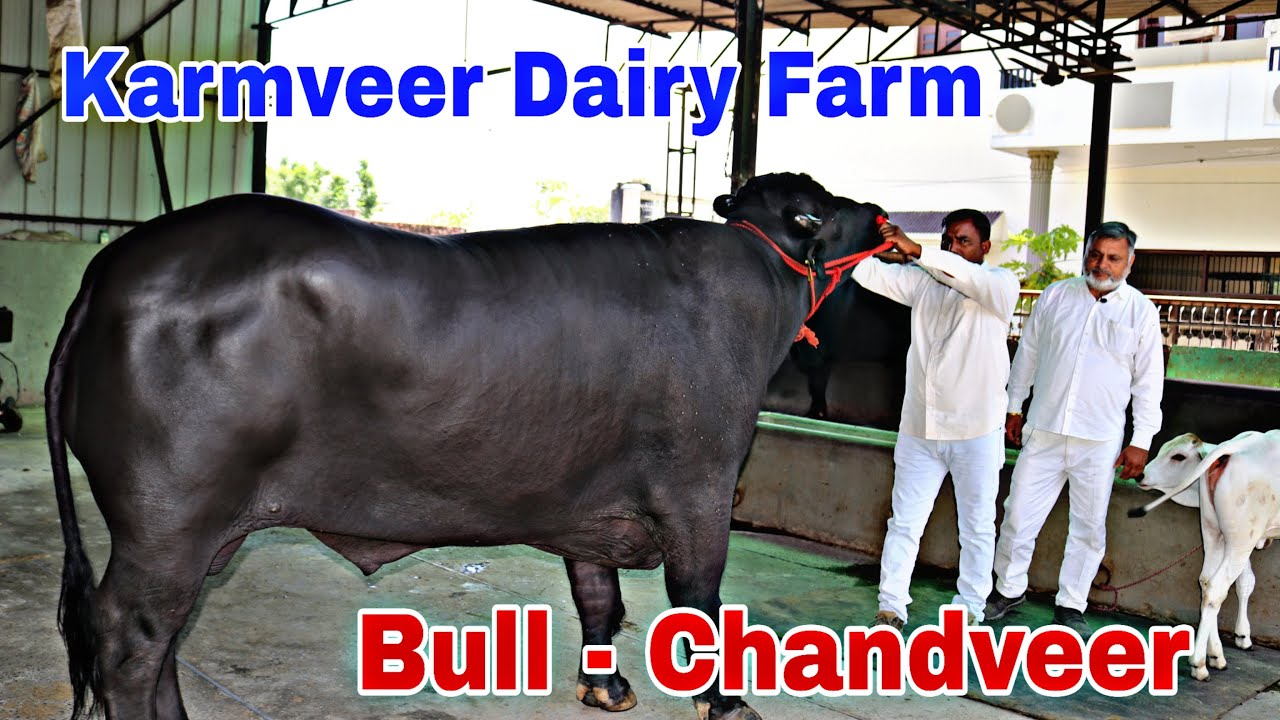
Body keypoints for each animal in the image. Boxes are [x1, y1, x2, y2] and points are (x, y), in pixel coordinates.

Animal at [46, 173, 888, 720]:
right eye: (815, 212)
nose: (881, 213)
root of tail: (109, 269)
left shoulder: (587, 501)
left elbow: (598, 592)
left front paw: (606, 688)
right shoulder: (701, 484)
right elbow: (702, 600)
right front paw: (729, 704)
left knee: (156, 644)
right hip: (169, 520)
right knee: (132, 639)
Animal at [1130, 429, 1280, 681]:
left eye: (1178, 456)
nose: (1141, 474)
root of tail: (1238, 446)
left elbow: (1245, 582)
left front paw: (1243, 636)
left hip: (1215, 532)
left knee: (1206, 581)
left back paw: (1215, 654)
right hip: (1241, 538)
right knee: (1216, 588)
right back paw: (1199, 664)